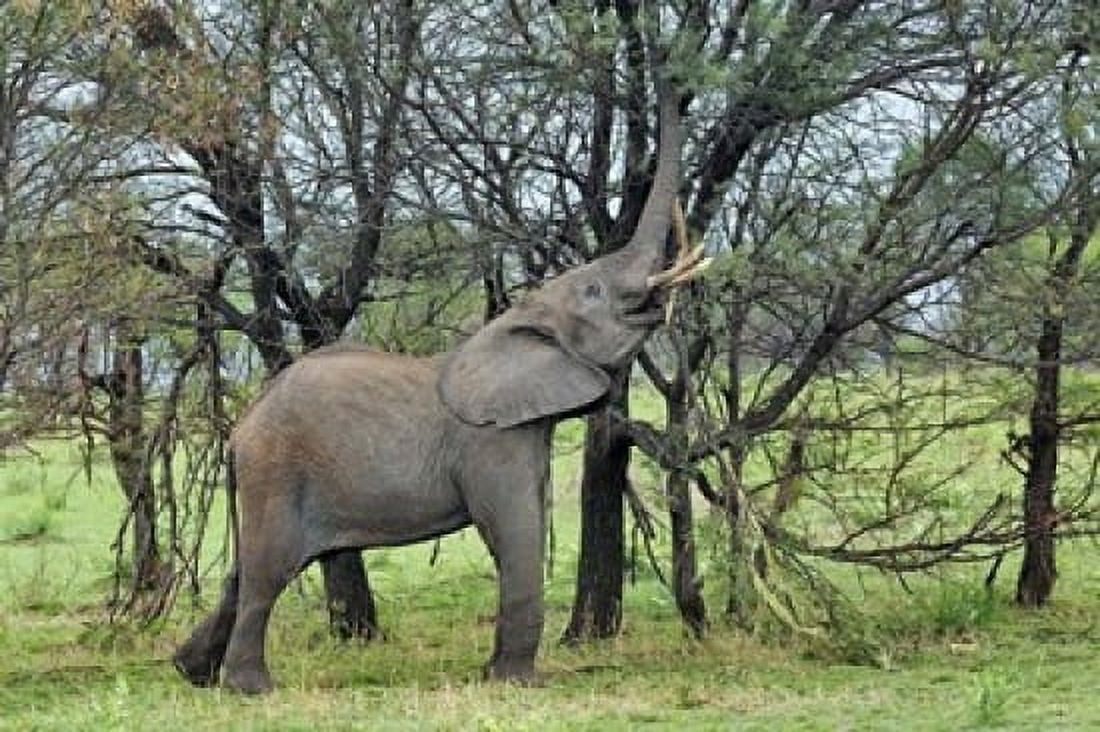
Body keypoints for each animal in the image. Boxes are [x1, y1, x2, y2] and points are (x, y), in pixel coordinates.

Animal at [172, 85, 704, 694]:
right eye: (593, 291)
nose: (669, 78)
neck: (517, 320)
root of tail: (241, 428)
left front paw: (496, 675)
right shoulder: (492, 441)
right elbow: (515, 530)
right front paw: (514, 683)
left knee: (244, 572)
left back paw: (189, 672)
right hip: (277, 469)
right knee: (268, 572)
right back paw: (251, 689)